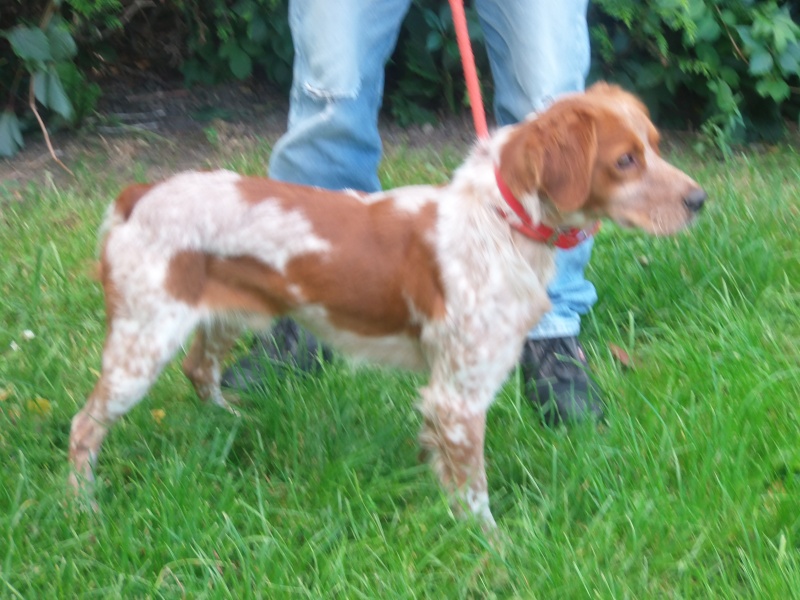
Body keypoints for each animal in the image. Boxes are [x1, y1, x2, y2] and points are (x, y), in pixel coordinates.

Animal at [69, 82, 708, 524]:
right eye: (625, 160)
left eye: (655, 146)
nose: (700, 199)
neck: (501, 223)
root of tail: (138, 193)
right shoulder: (458, 397)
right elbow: (475, 493)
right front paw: (496, 548)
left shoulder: (448, 397)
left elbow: (447, 472)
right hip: (142, 343)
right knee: (85, 424)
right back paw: (84, 505)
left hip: (222, 315)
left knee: (200, 370)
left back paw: (232, 421)